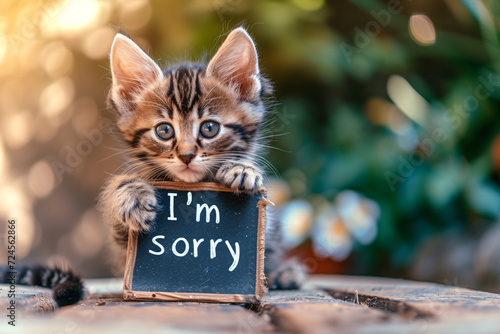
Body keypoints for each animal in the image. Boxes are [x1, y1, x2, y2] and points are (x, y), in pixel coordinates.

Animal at [100, 28, 304, 290]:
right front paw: (131, 195)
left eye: (209, 128)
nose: (186, 155)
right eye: (164, 131)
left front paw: (242, 169)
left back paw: (284, 273)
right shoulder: (121, 249)